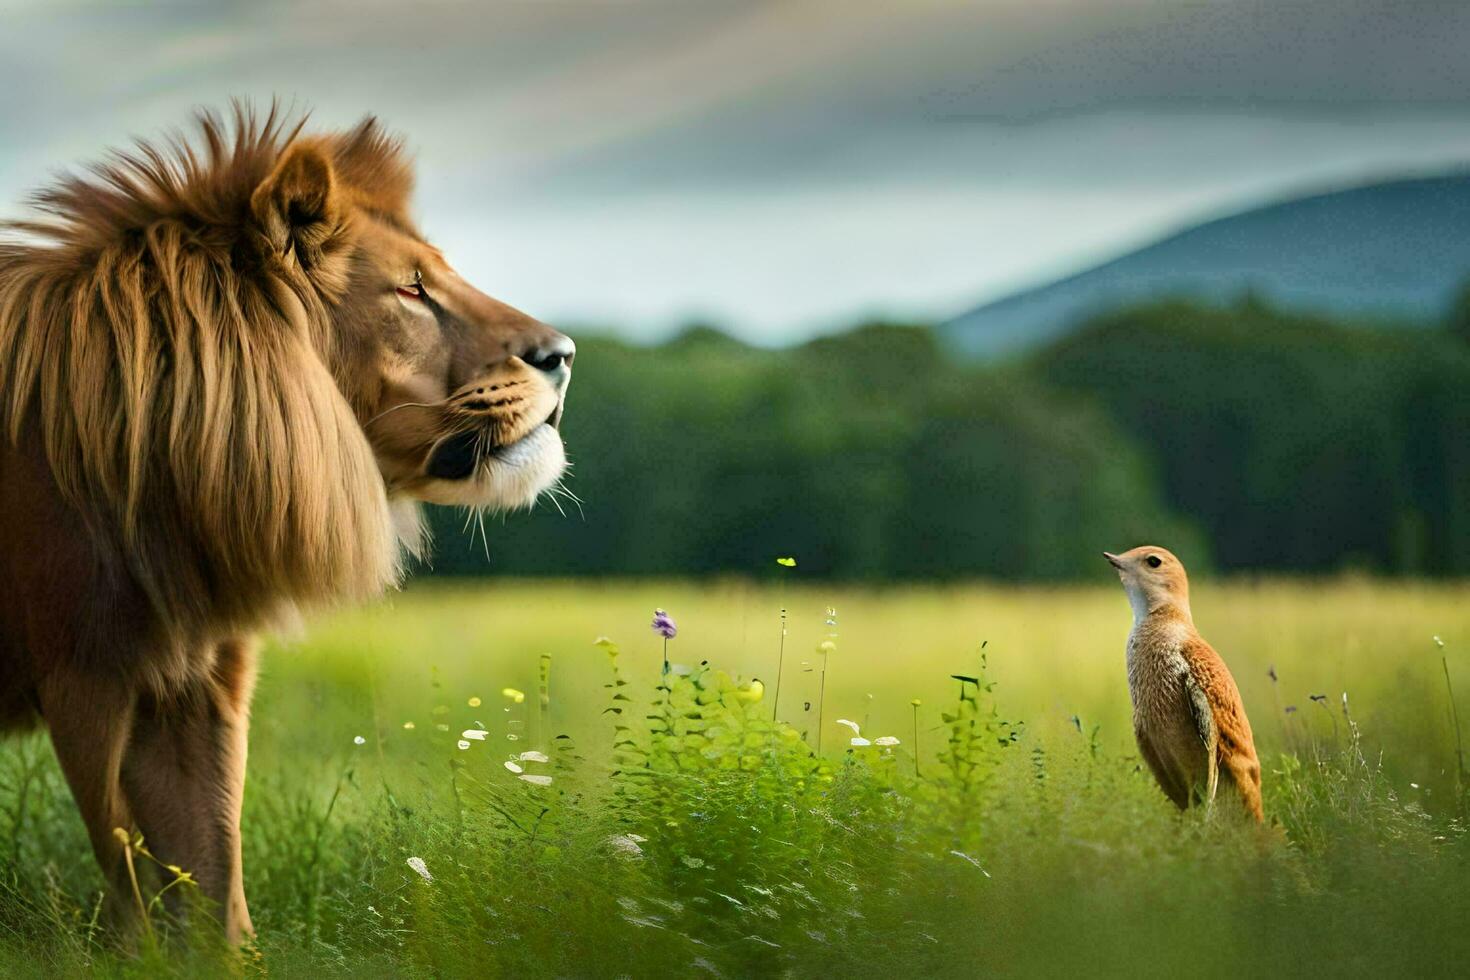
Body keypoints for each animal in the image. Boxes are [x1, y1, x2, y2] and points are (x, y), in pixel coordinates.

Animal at [0, 105, 573, 940]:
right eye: (411, 289)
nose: (565, 353)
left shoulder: (195, 684)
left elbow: (215, 893)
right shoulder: (84, 680)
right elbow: (133, 897)